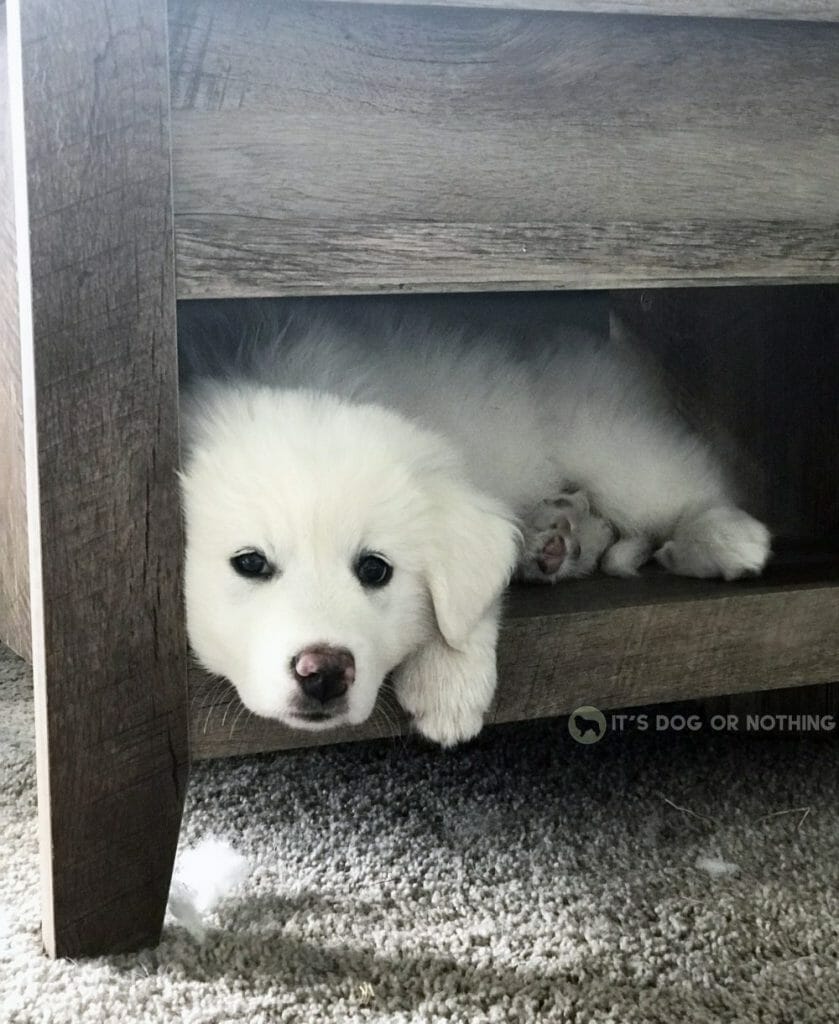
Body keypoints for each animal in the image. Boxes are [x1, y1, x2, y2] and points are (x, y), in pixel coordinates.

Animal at [180, 299, 770, 749]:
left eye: (374, 570)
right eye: (250, 563)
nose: (324, 672)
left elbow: (462, 607)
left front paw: (450, 681)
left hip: (609, 445)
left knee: (685, 485)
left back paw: (727, 539)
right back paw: (553, 541)